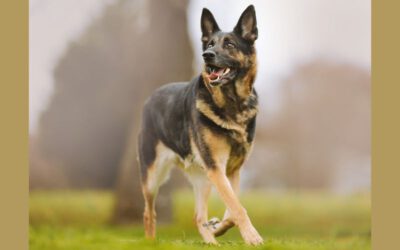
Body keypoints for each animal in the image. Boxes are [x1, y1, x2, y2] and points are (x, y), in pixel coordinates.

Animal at [138, 4, 262, 245]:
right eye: (210, 44)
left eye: (230, 44)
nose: (206, 55)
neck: (233, 104)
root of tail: (150, 98)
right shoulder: (217, 168)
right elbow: (237, 208)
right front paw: (252, 236)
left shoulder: (231, 171)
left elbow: (232, 210)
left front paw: (217, 227)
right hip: (153, 177)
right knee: (149, 212)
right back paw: (150, 241)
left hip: (203, 180)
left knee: (198, 217)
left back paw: (211, 240)